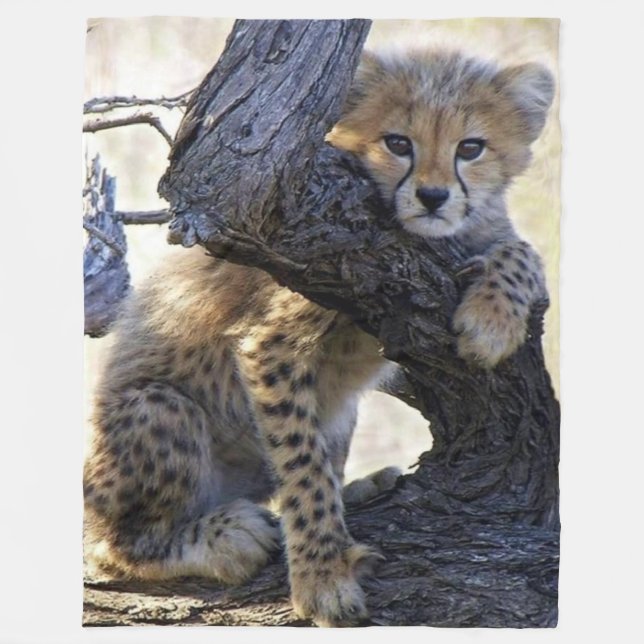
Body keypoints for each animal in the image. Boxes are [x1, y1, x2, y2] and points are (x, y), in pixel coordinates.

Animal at [83, 47, 555, 627]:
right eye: (398, 143)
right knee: (108, 549)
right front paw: (322, 576)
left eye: (471, 148)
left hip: (340, 415)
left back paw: (362, 488)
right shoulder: (270, 345)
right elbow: (303, 467)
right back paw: (225, 537)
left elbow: (523, 251)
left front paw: (492, 321)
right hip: (157, 407)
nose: (433, 196)